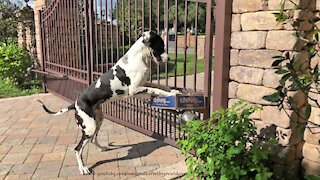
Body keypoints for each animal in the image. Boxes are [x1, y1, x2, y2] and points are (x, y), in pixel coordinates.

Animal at [37, 31, 180, 174]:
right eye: (160, 46)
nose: (169, 59)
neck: (138, 58)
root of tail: (75, 104)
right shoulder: (135, 90)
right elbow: (157, 90)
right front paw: (170, 94)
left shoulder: (144, 83)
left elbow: (160, 86)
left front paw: (173, 90)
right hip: (89, 128)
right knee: (77, 149)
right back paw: (83, 168)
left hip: (98, 121)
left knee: (93, 140)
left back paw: (102, 148)